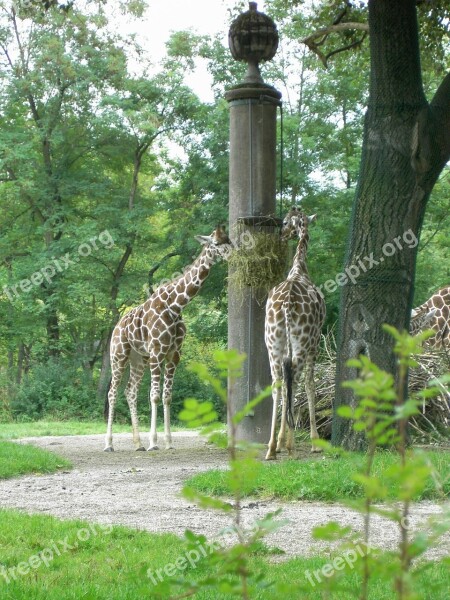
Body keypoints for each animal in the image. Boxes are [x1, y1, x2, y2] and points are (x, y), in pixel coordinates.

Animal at [104, 225, 232, 450]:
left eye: (230, 239)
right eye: (216, 243)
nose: (233, 255)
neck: (176, 306)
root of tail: (117, 326)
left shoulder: (174, 354)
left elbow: (167, 397)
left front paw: (169, 442)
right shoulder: (158, 351)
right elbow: (154, 396)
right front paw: (154, 442)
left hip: (139, 359)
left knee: (130, 391)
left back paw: (138, 443)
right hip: (119, 355)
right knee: (112, 392)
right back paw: (109, 444)